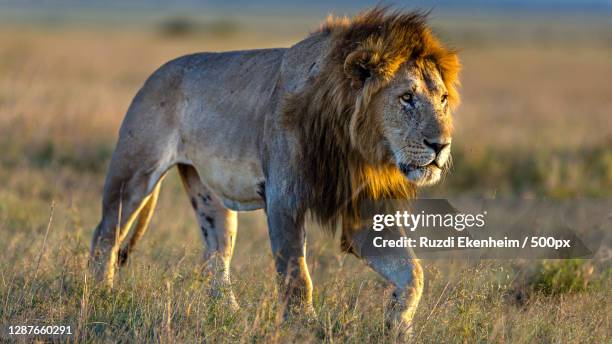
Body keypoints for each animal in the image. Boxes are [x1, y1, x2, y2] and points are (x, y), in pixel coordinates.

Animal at [91, 8, 460, 336]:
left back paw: (231, 316)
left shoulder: (363, 215)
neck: (355, 145)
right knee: (105, 236)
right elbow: (297, 276)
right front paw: (304, 327)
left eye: (442, 99)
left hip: (210, 197)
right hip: (134, 172)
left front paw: (397, 325)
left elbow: (413, 274)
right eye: (406, 97)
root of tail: (157, 71)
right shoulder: (284, 200)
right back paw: (102, 296)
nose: (440, 145)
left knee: (215, 259)